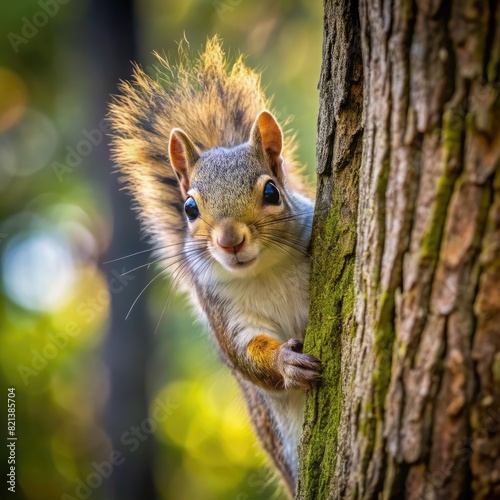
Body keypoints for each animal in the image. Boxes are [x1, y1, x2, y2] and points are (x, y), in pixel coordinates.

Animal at [108, 36, 322, 496]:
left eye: (272, 192)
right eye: (189, 207)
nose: (229, 241)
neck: (263, 272)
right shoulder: (222, 310)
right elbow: (247, 354)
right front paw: (285, 363)